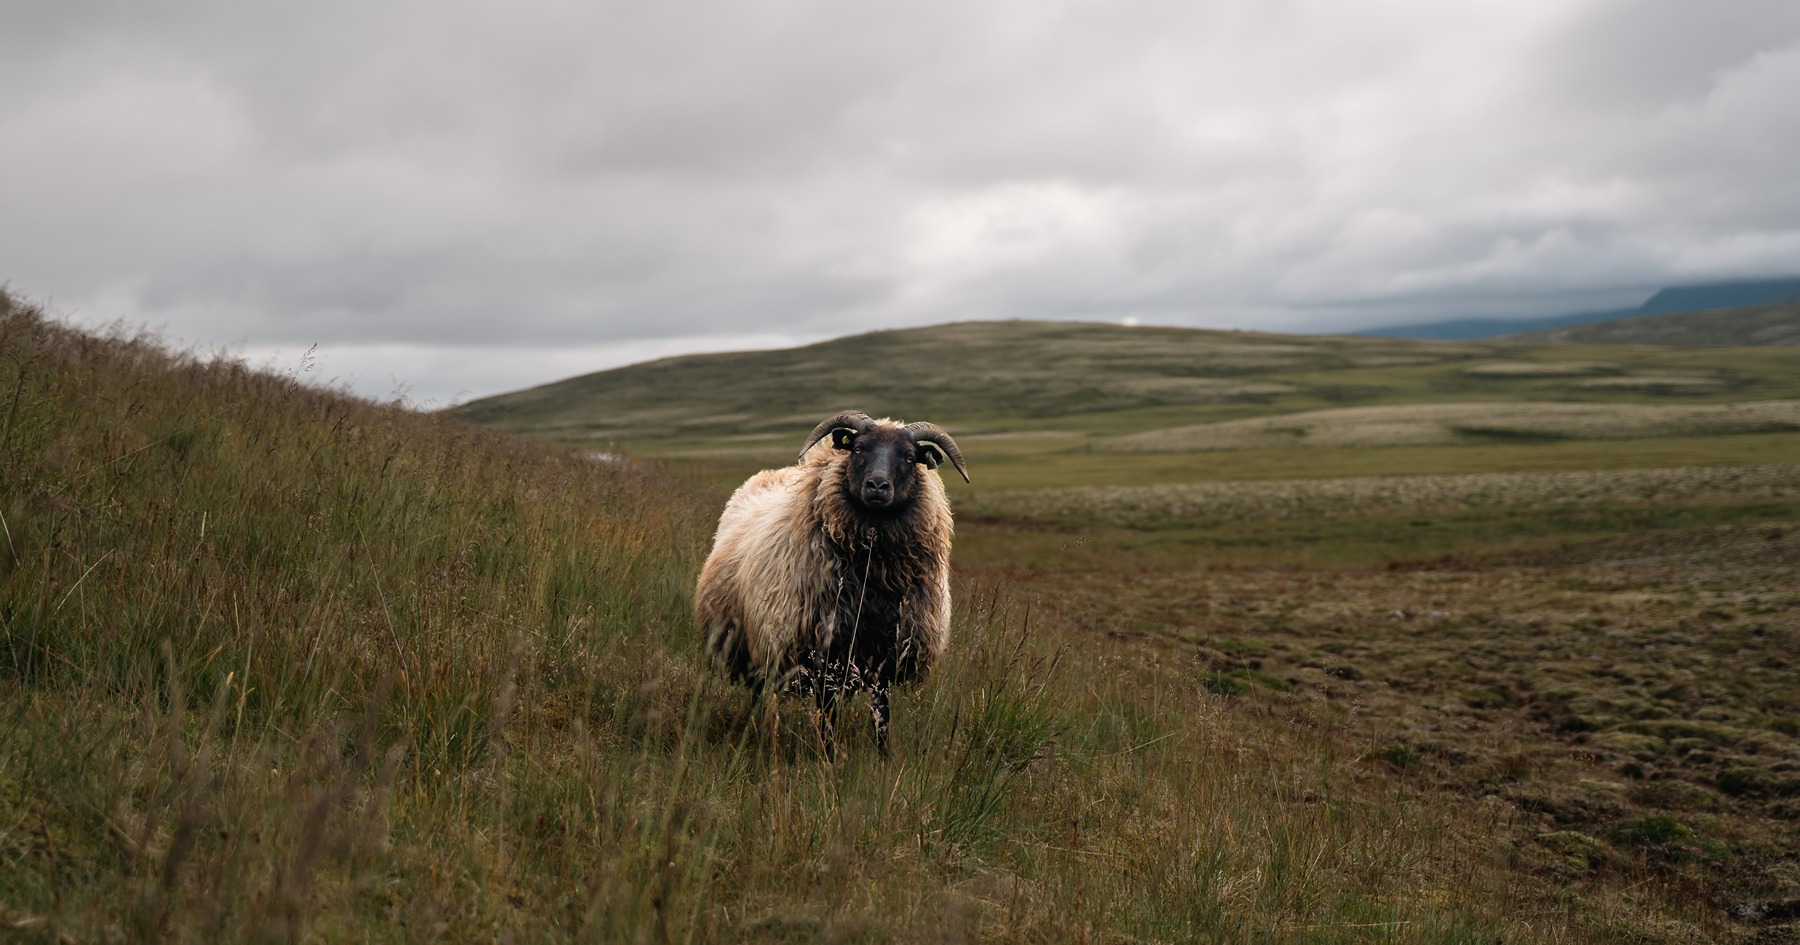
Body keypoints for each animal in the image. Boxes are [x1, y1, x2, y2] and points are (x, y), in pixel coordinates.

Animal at [694, 411, 969, 757]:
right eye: (858, 449)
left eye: (909, 457)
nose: (877, 485)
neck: (871, 574)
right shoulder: (825, 655)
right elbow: (828, 717)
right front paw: (829, 760)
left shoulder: (882, 656)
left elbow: (882, 717)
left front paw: (883, 759)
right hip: (759, 648)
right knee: (762, 695)